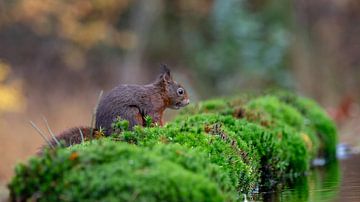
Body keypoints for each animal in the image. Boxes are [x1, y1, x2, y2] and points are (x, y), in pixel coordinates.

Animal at [46, 65, 190, 148]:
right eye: (180, 91)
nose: (188, 102)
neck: (159, 94)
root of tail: (102, 132)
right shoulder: (153, 108)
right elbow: (155, 121)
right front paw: (162, 129)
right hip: (131, 115)